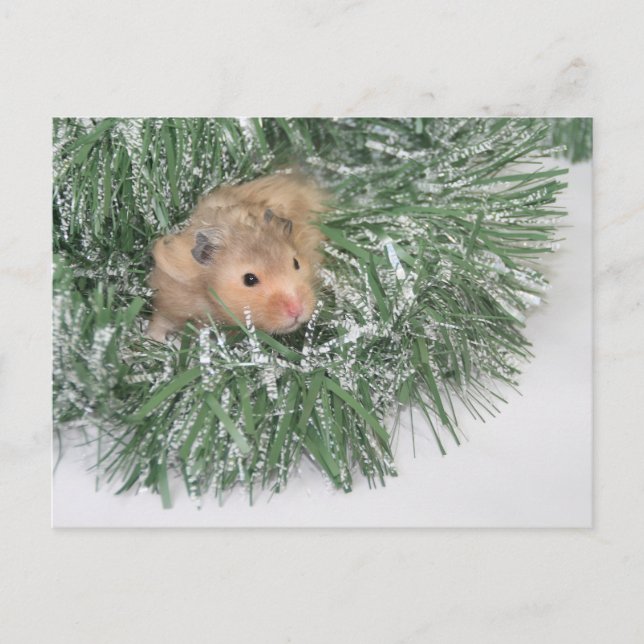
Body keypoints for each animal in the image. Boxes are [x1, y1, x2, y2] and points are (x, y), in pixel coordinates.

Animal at [147, 173, 326, 342]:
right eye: (249, 279)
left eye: (296, 263)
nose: (297, 310)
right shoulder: (169, 298)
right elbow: (161, 321)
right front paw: (155, 339)